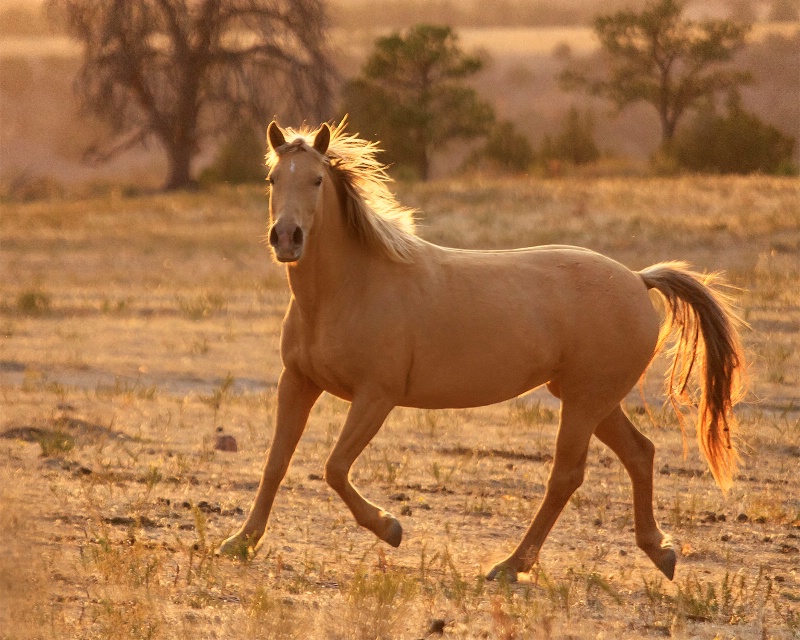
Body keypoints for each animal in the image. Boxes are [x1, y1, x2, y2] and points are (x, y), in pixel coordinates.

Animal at [217, 119, 744, 580]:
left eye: (317, 179)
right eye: (271, 179)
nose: (287, 238)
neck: (348, 289)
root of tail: (638, 279)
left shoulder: (375, 396)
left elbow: (335, 468)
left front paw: (390, 528)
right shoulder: (297, 383)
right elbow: (276, 463)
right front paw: (240, 543)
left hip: (583, 401)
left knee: (566, 476)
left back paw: (511, 566)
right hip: (593, 400)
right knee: (640, 454)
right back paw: (661, 552)